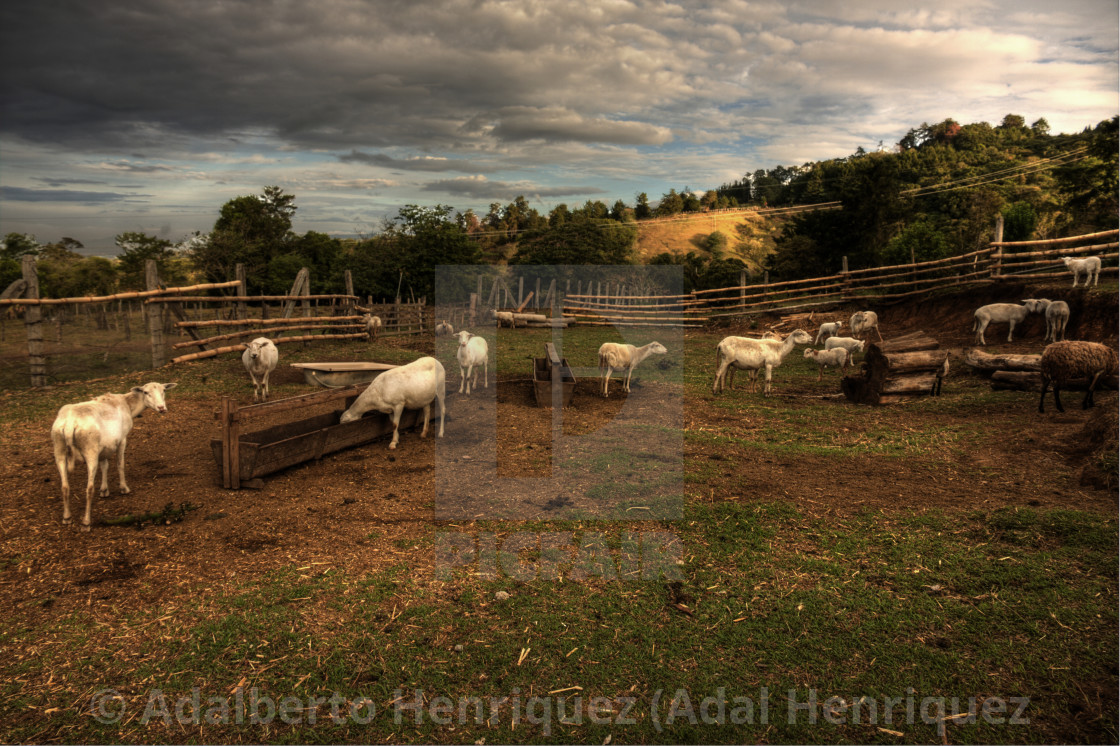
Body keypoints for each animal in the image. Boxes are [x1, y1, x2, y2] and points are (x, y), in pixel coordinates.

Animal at [50, 383, 175, 528]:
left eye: (164, 390)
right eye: (145, 392)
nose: (162, 408)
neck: (128, 405)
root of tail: (70, 423)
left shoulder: (104, 446)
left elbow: (105, 465)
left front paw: (104, 490)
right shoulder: (122, 439)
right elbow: (120, 464)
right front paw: (124, 488)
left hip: (59, 448)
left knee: (64, 486)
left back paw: (67, 517)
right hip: (90, 450)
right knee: (89, 488)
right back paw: (86, 522)